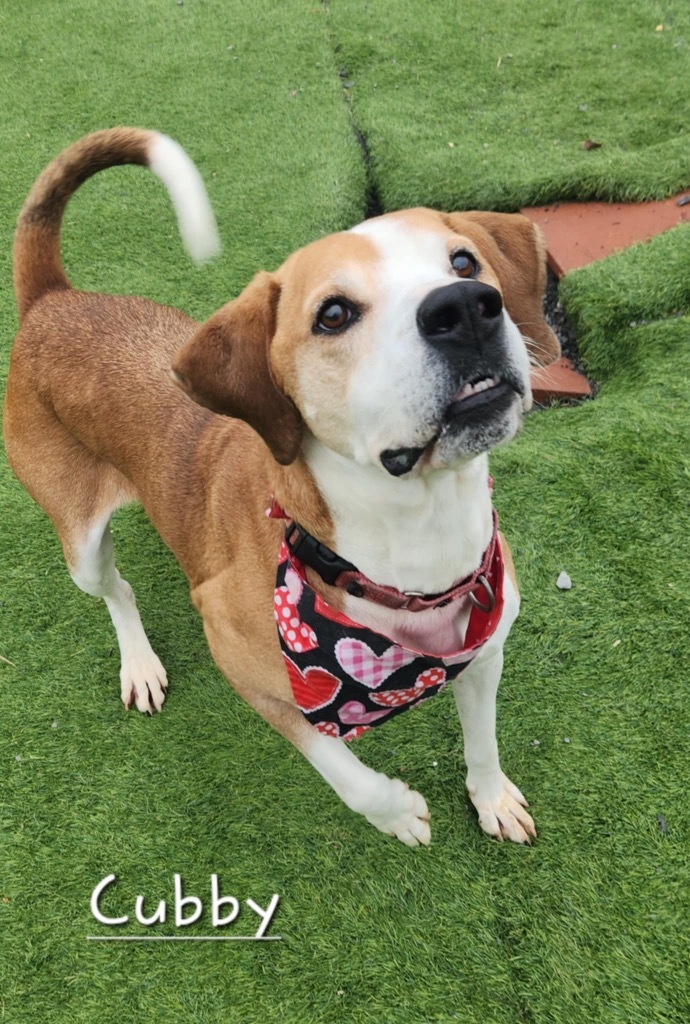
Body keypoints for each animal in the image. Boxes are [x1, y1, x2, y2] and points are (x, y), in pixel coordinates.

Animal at [2, 128, 556, 847]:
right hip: (79, 540)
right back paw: (140, 663)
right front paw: (397, 811)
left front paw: (491, 798)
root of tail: (52, 300)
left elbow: (483, 742)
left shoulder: (485, 652)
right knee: (115, 587)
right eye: (334, 314)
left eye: (463, 263)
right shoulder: (242, 660)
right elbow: (339, 767)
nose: (464, 309)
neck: (415, 545)